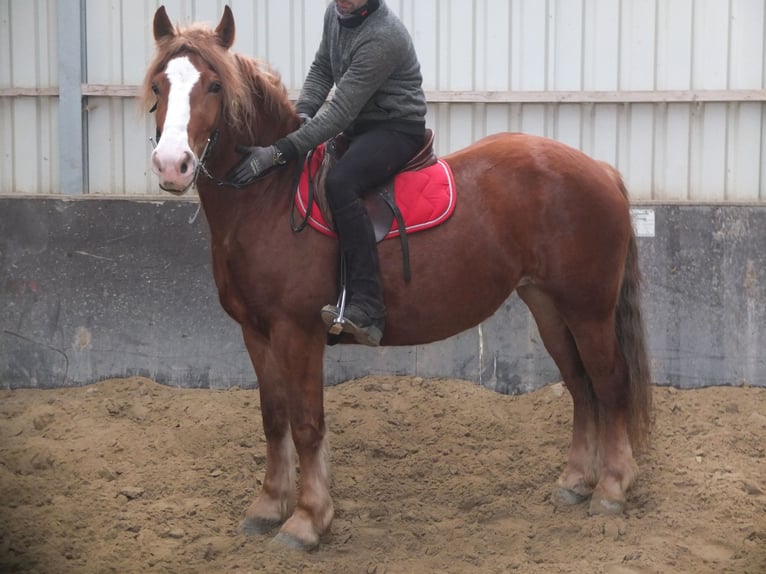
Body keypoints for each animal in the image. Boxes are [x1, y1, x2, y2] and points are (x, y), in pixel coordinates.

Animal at [144, 6, 652, 551]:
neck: (269, 197)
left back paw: (612, 488)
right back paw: (576, 481)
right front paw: (268, 506)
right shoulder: (255, 333)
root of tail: (599, 168)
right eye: (158, 84)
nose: (172, 165)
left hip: (589, 310)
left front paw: (307, 519)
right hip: (549, 307)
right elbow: (273, 417)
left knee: (610, 383)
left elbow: (306, 423)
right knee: (580, 385)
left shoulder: (297, 333)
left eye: (215, 85)